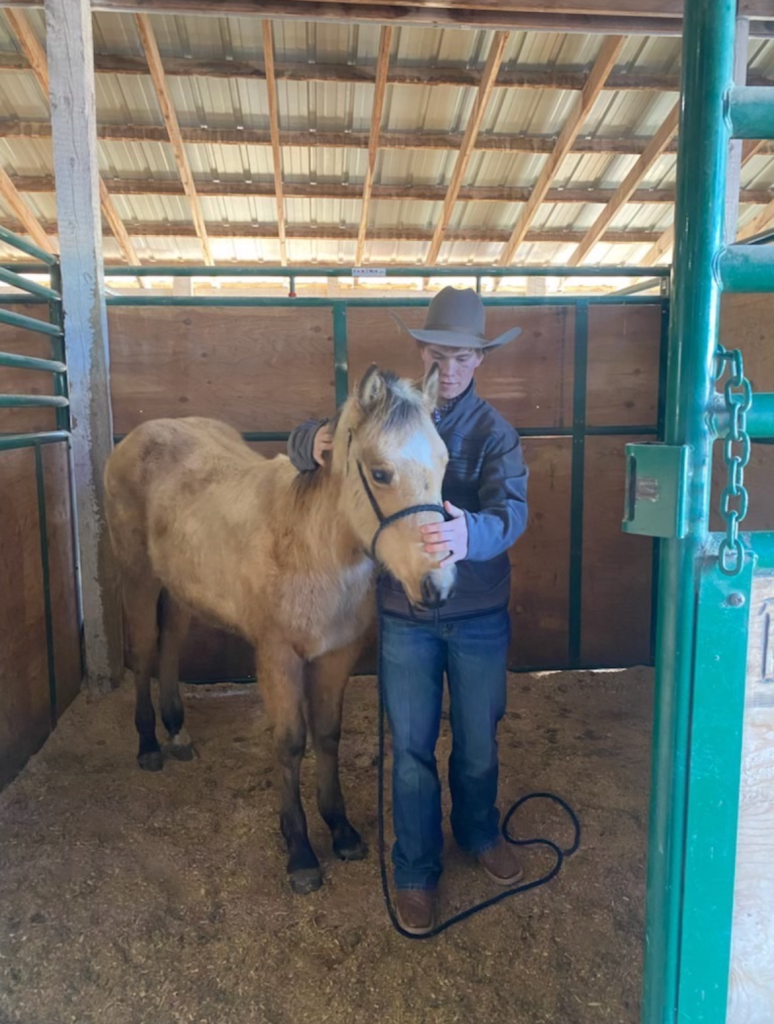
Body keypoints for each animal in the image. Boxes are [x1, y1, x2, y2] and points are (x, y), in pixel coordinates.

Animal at [103, 364, 456, 894]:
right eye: (380, 472)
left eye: (444, 461)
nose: (436, 585)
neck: (312, 548)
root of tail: (141, 436)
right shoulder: (278, 658)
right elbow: (290, 744)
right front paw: (301, 852)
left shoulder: (335, 656)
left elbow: (327, 735)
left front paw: (342, 830)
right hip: (140, 579)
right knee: (145, 651)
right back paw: (149, 744)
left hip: (181, 591)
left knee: (170, 649)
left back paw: (178, 732)